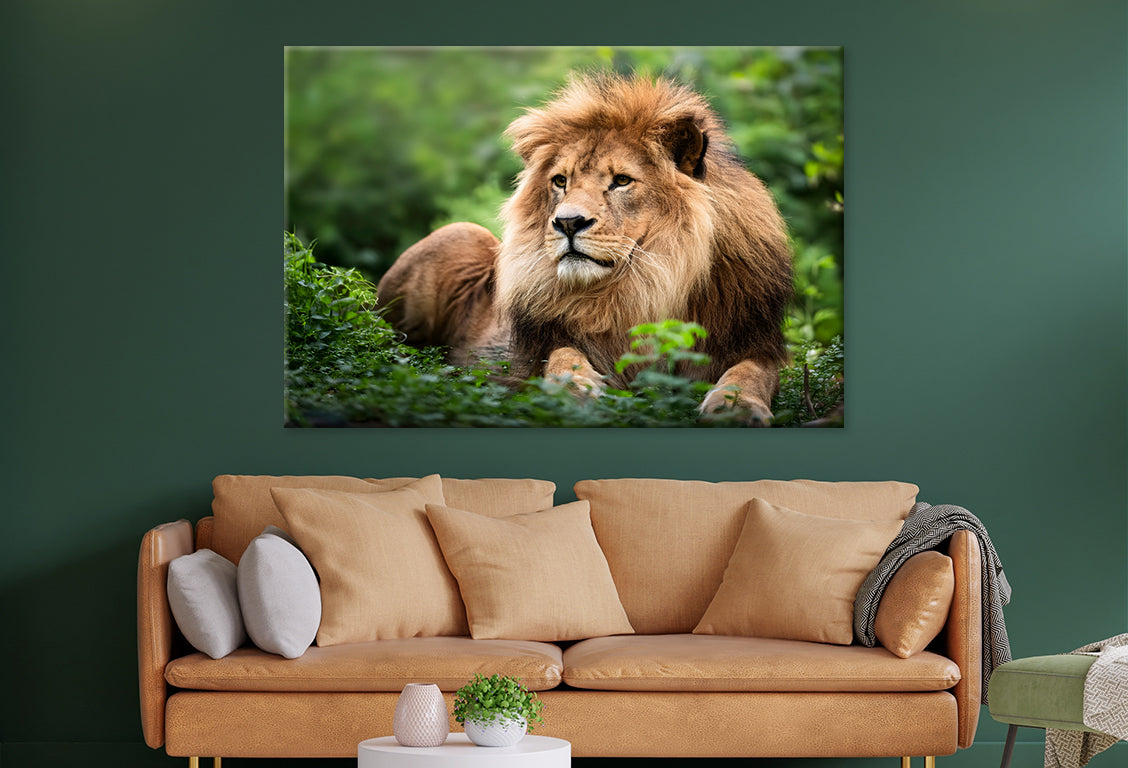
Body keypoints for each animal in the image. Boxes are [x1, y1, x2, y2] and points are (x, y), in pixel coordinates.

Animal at [377, 72, 793, 424]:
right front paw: (573, 389)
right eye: (560, 181)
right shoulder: (543, 345)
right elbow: (564, 357)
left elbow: (750, 373)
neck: (646, 284)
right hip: (459, 233)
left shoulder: (752, 340)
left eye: (622, 180)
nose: (567, 223)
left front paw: (736, 407)